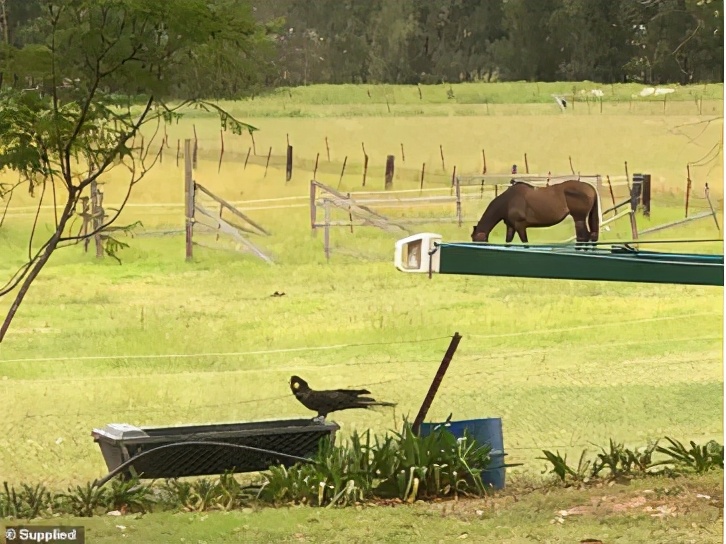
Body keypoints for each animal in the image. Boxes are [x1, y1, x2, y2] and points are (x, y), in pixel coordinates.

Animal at [472, 181, 604, 244]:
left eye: (476, 240)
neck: (508, 201)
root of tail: (591, 188)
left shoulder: (520, 226)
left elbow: (525, 243)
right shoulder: (511, 227)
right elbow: (508, 242)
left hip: (579, 218)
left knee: (584, 236)